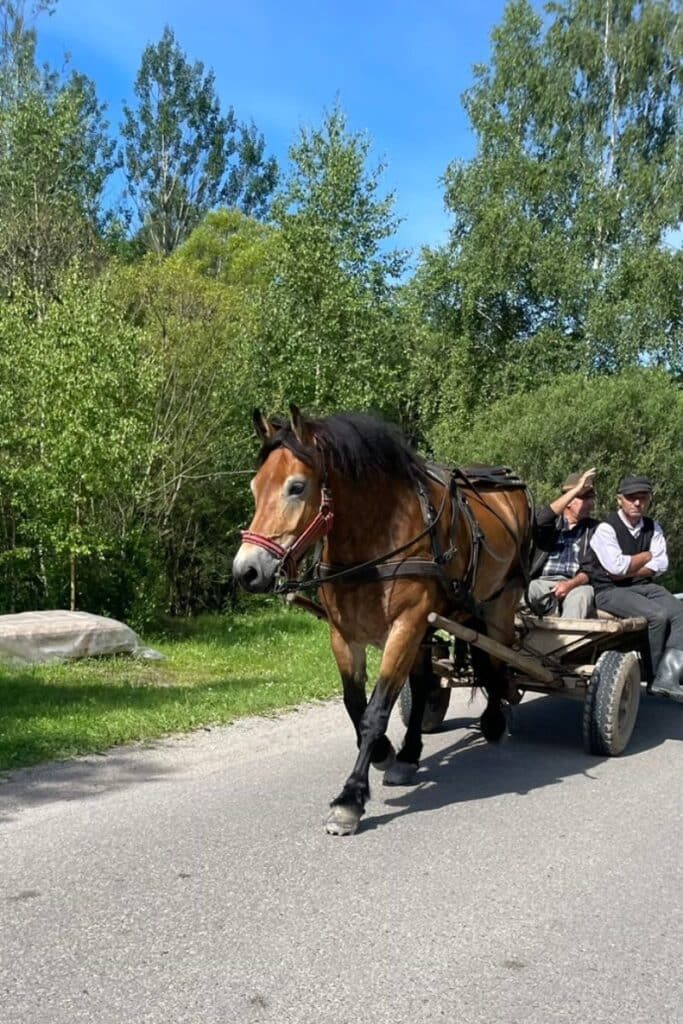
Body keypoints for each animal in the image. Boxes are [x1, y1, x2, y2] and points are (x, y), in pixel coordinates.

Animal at [235, 403, 532, 835]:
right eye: (255, 488)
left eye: (296, 487)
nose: (247, 571)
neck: (374, 542)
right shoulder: (345, 635)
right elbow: (356, 705)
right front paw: (384, 753)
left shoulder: (406, 625)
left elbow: (376, 711)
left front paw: (350, 798)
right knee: (427, 683)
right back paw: (409, 754)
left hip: (499, 607)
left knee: (495, 661)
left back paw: (494, 719)